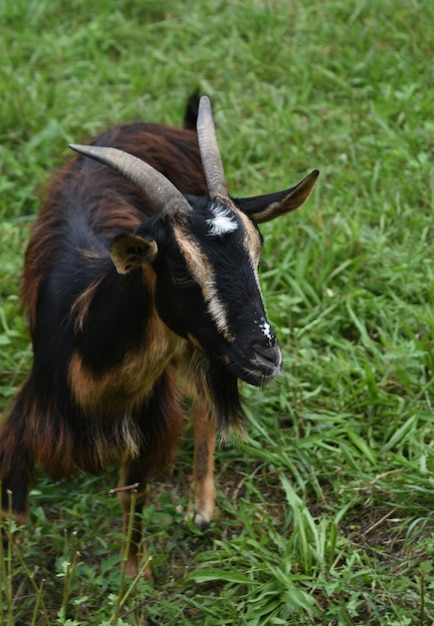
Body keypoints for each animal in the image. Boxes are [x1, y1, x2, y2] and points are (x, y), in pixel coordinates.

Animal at [0, 95, 318, 576]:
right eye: (181, 270)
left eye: (257, 252)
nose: (265, 355)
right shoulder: (24, 425)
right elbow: (14, 519)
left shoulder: (149, 426)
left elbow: (134, 503)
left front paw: (133, 579)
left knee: (204, 405)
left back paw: (201, 508)